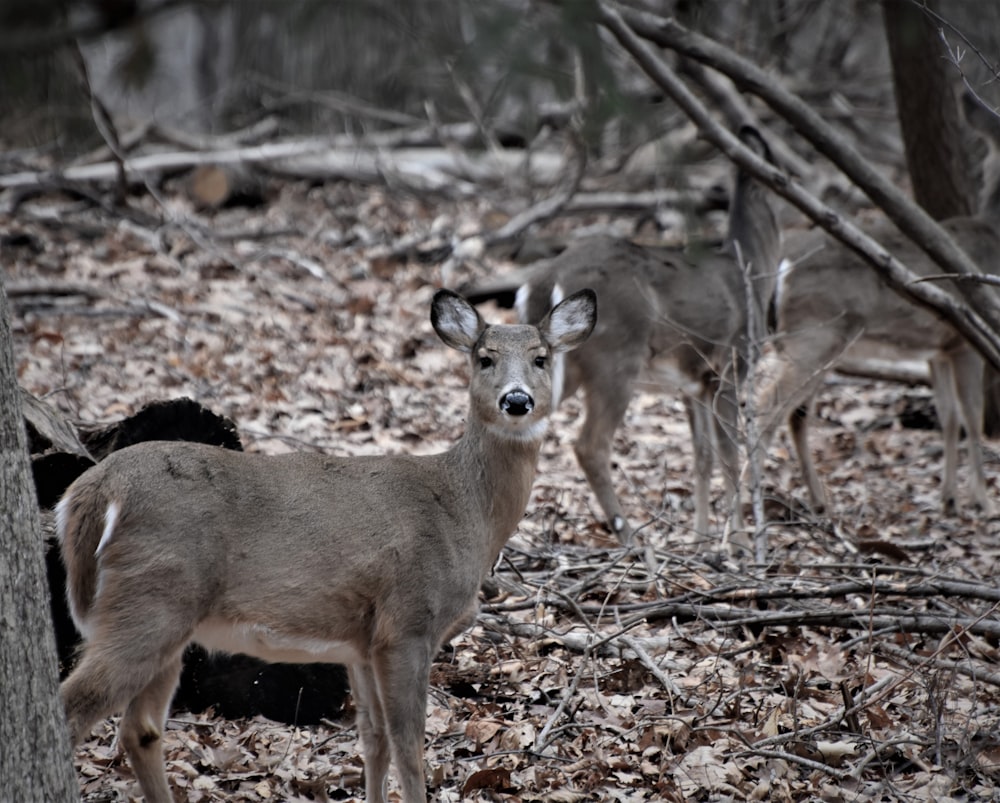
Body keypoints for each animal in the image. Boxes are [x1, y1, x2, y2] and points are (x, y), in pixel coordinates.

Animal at [54, 288, 592, 803]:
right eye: (484, 357)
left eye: (541, 358)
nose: (517, 400)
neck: (463, 509)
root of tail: (94, 488)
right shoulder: (407, 622)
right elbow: (409, 746)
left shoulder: (362, 644)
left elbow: (373, 739)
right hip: (152, 596)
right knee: (71, 707)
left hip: (166, 620)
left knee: (140, 729)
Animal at [500, 125, 780, 544]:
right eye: (782, 175)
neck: (750, 273)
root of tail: (546, 278)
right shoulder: (731, 365)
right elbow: (730, 455)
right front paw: (740, 544)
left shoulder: (693, 383)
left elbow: (703, 456)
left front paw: (700, 540)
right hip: (615, 357)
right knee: (591, 446)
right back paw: (628, 534)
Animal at [756, 99, 1000, 516]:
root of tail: (782, 265)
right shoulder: (965, 335)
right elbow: (971, 415)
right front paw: (982, 502)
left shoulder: (937, 347)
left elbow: (949, 416)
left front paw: (949, 498)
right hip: (816, 332)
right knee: (769, 403)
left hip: (817, 340)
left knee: (797, 412)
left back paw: (819, 502)